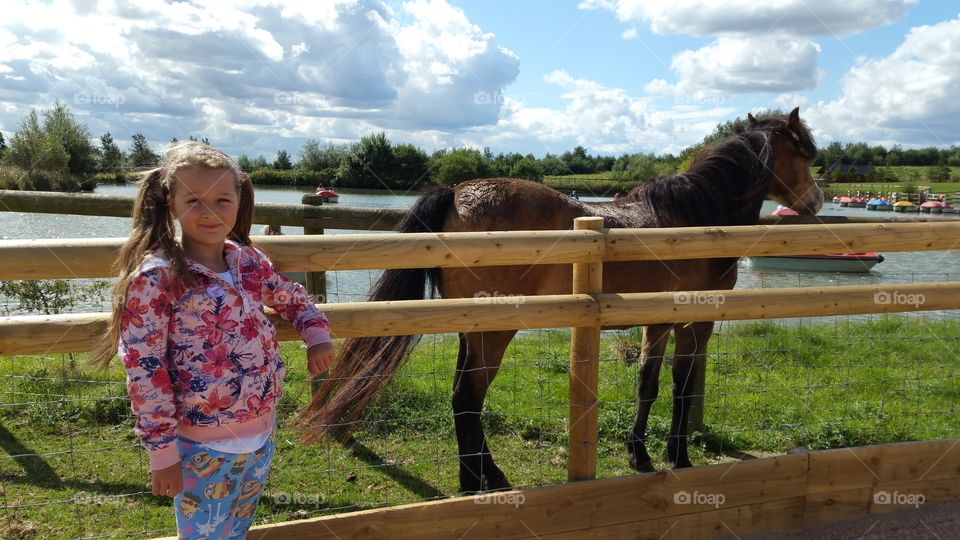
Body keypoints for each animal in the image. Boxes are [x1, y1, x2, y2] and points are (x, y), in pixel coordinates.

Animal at [297, 107, 823, 493]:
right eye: (805, 152)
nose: (817, 200)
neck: (694, 219)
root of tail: (457, 191)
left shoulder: (658, 321)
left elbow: (648, 386)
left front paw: (640, 453)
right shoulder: (696, 322)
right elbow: (682, 387)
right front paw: (678, 454)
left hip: (473, 328)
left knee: (464, 395)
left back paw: (486, 474)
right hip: (495, 329)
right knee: (468, 397)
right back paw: (479, 482)